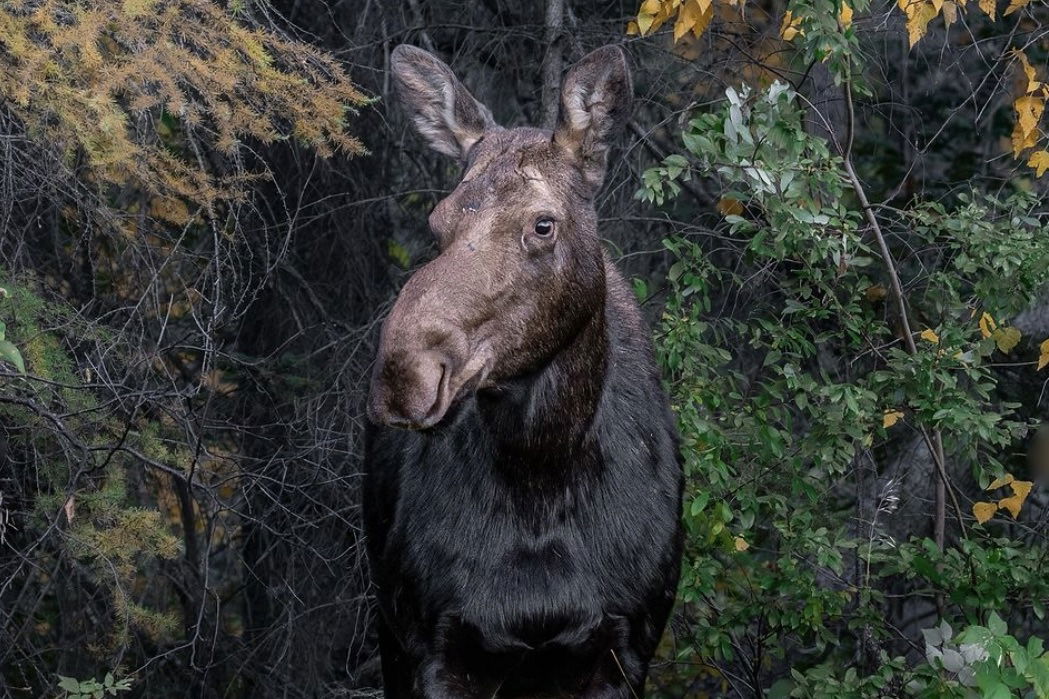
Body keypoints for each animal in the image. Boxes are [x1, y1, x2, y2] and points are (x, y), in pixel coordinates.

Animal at [365, 44, 683, 696]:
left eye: (543, 223)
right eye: (437, 223)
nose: (405, 374)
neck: (541, 473)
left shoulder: (622, 648)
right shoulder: (435, 644)